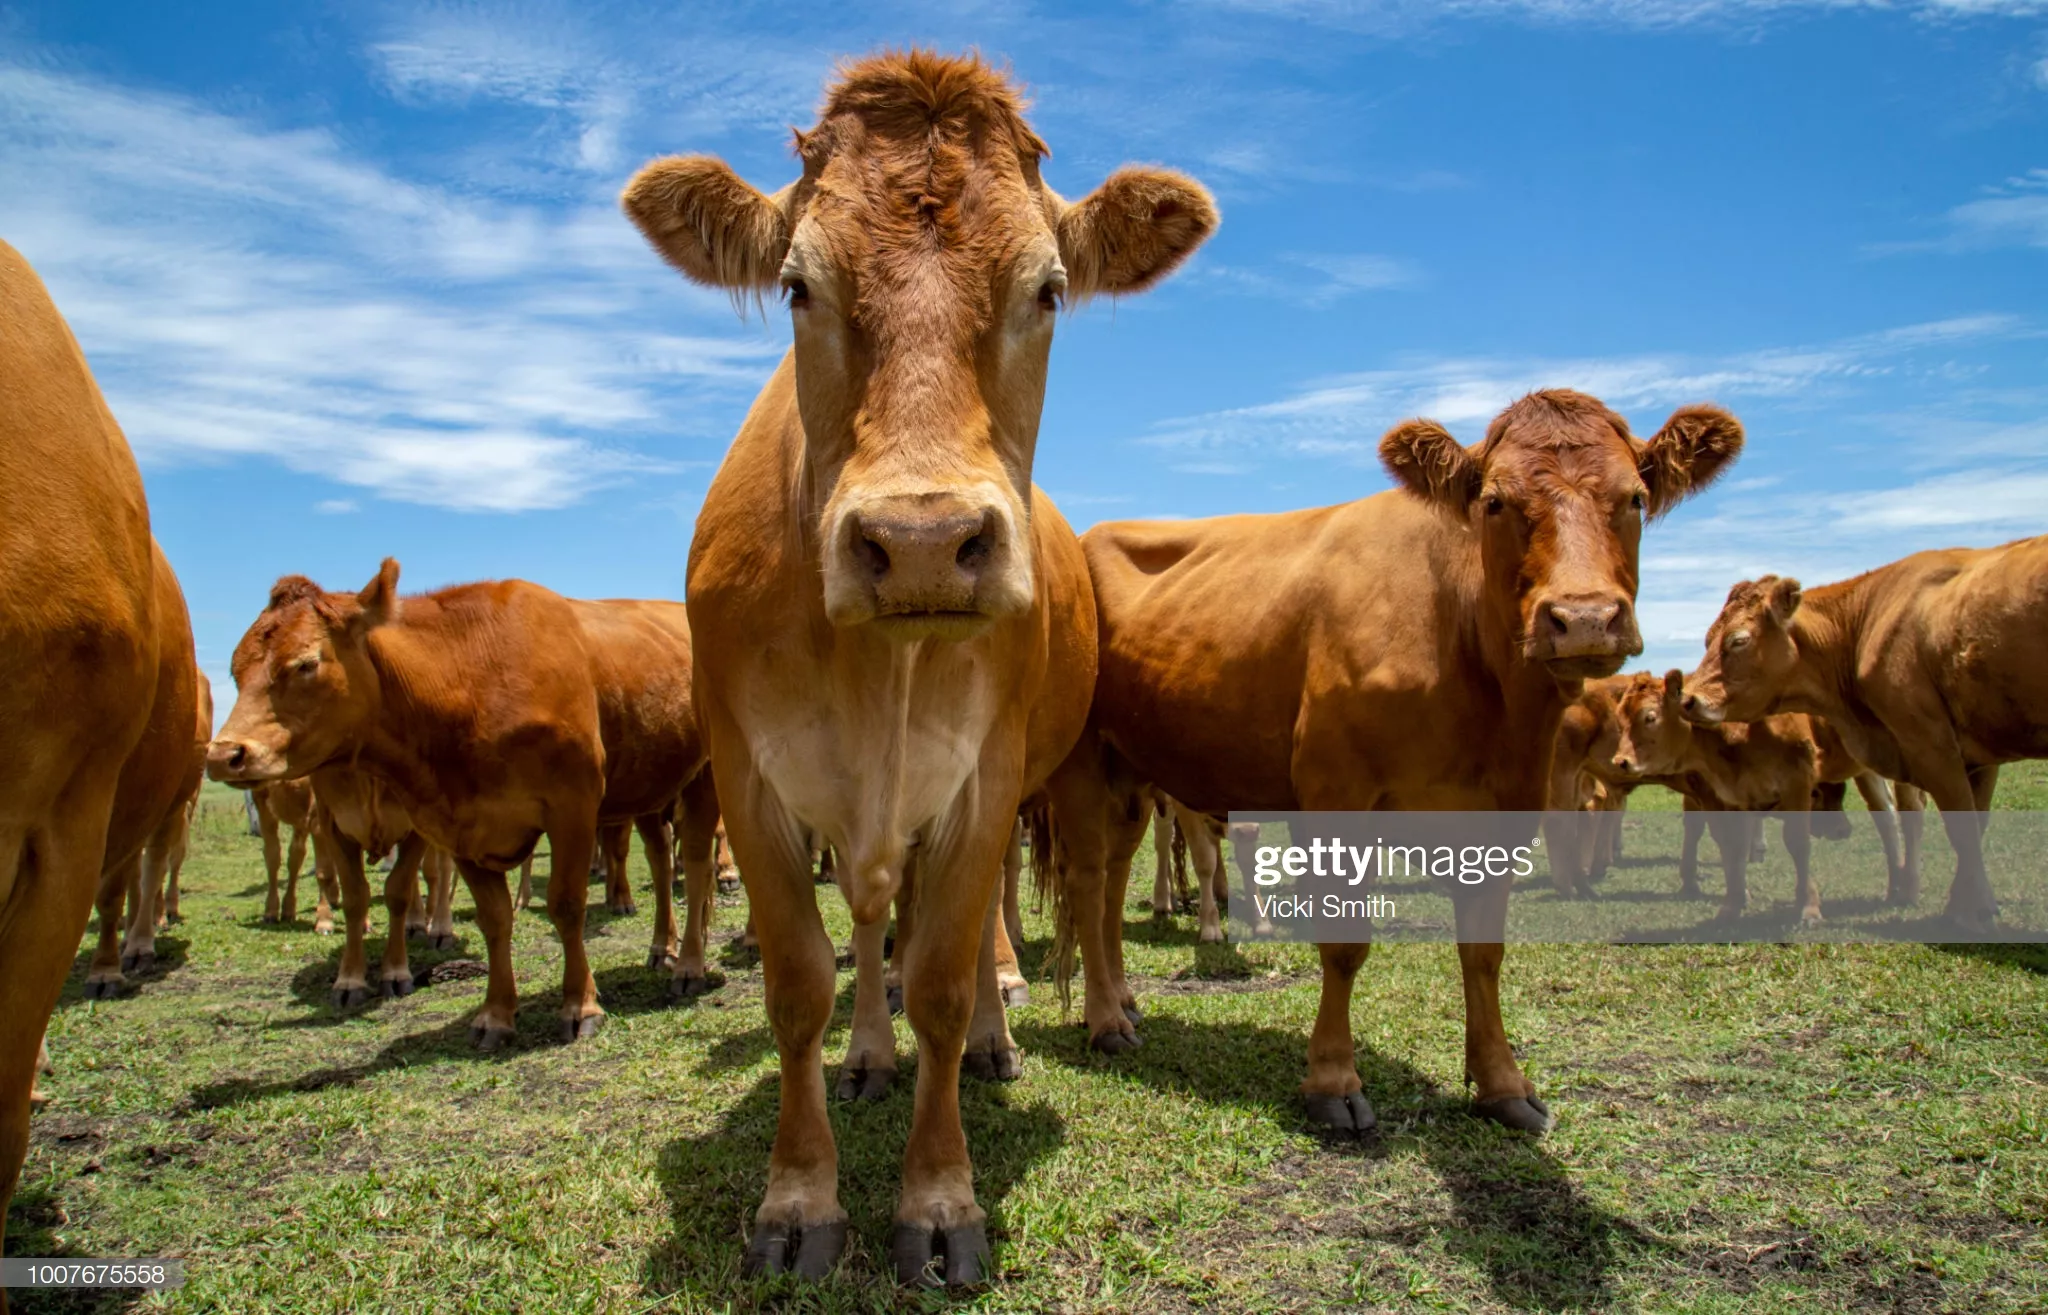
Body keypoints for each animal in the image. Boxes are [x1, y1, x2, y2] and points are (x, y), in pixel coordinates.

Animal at [205, 573, 729, 1044]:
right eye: (235, 669)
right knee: (661, 861)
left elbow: (566, 906)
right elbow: (493, 918)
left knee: (696, 866)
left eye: (306, 664)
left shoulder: (572, 809)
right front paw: (495, 1015)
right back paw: (662, 946)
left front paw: (580, 1006)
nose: (224, 754)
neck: (467, 679)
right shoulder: (456, 825)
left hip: (704, 781)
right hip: (651, 787)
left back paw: (689, 965)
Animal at [614, 51, 1204, 1278]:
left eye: (1048, 290)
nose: (924, 541)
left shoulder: (984, 778)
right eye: (797, 285)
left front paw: (939, 1200)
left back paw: (991, 1035)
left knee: (966, 932)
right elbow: (802, 980)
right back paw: (871, 1057)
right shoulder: (750, 779)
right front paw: (799, 1198)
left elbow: (937, 972)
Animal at [1048, 385, 1736, 1130]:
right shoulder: (1335, 796)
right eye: (1494, 501)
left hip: (1132, 768)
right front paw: (1333, 1081)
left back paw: (1123, 998)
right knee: (1087, 880)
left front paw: (1502, 1082)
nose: (1583, 619)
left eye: (1634, 497)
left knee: (1114, 879)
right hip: (1082, 761)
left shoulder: (1505, 807)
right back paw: (1105, 1019)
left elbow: (1484, 950)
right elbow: (1346, 944)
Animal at [1679, 536, 2048, 925]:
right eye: (1707, 638)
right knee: (1889, 819)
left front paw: (1971, 909)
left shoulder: (1931, 747)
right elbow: (1974, 826)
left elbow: (1962, 829)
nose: (1687, 700)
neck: (1860, 623)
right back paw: (1898, 888)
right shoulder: (1980, 756)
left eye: (1738, 640)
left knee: (1905, 817)